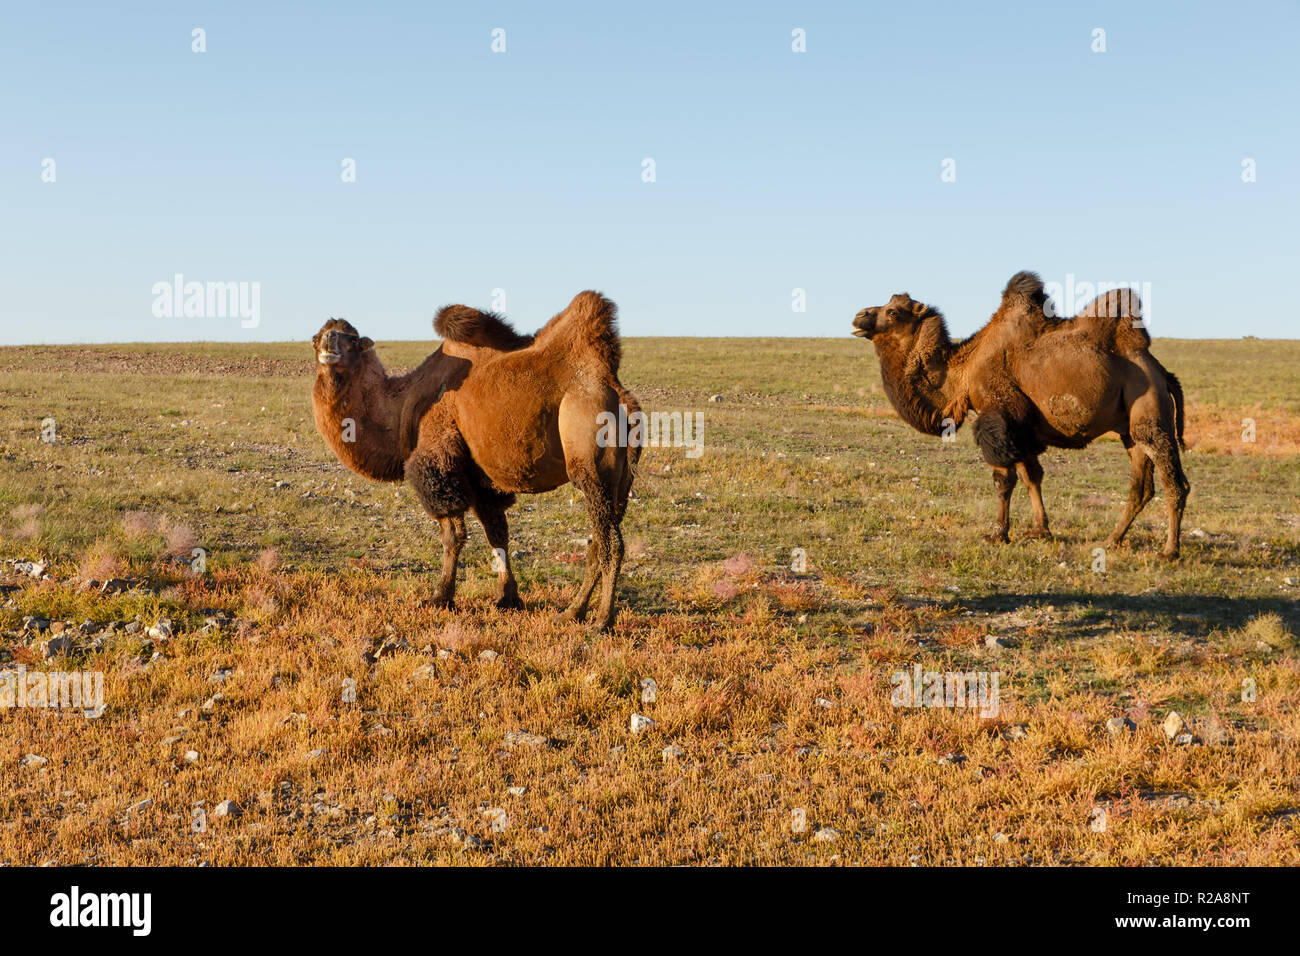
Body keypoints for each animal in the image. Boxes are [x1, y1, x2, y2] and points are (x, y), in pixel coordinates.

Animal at [312, 295, 642, 632]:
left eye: (352, 339)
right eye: (316, 337)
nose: (329, 343)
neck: (403, 407)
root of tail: (620, 396)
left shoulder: (439, 462)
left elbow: (453, 535)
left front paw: (439, 597)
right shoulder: (480, 477)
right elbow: (497, 533)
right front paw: (507, 598)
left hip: (590, 461)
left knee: (611, 542)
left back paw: (601, 621)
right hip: (620, 481)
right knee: (599, 541)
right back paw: (572, 612)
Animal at [847, 269, 1190, 556]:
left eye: (893, 311)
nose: (859, 316)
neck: (963, 371)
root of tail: (1161, 372)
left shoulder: (998, 415)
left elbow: (1004, 479)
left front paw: (997, 534)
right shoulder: (1020, 426)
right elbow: (1031, 476)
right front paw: (1039, 530)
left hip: (1151, 413)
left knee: (1175, 482)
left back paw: (1168, 551)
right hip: (1129, 429)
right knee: (1141, 486)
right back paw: (1112, 540)